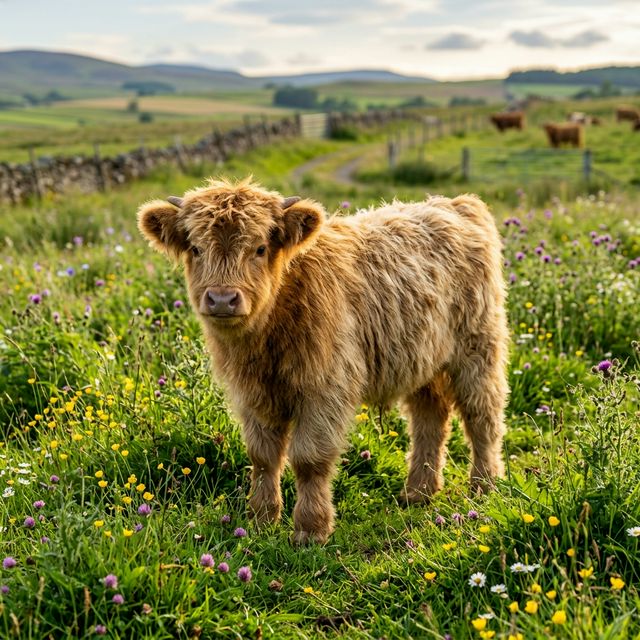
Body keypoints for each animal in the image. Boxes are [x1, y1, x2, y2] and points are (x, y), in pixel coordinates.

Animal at [138, 179, 509, 544]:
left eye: (260, 248)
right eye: (196, 249)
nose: (222, 299)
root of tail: (455, 203)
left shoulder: (325, 388)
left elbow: (309, 458)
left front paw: (310, 529)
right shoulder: (252, 393)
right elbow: (263, 456)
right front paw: (260, 520)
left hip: (477, 348)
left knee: (482, 415)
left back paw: (483, 486)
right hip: (422, 360)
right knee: (430, 420)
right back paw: (418, 492)